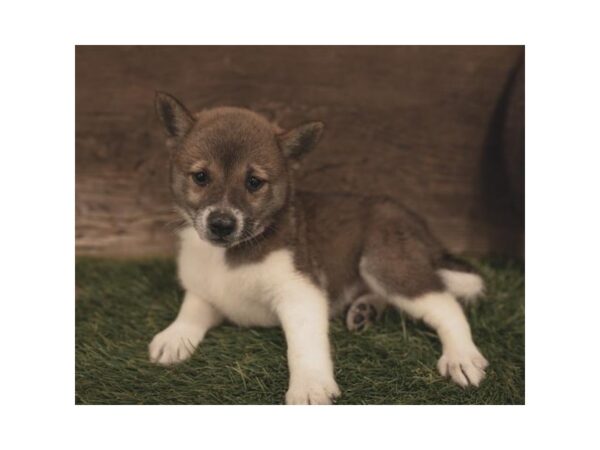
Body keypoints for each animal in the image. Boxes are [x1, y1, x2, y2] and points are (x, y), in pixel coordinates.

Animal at [149, 91, 488, 404]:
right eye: (201, 177)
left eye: (254, 182)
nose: (221, 224)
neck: (231, 252)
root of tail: (416, 221)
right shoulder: (208, 291)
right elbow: (192, 307)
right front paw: (175, 336)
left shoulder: (301, 292)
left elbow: (303, 346)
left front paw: (309, 387)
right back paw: (365, 310)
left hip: (384, 260)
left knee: (445, 303)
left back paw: (460, 356)